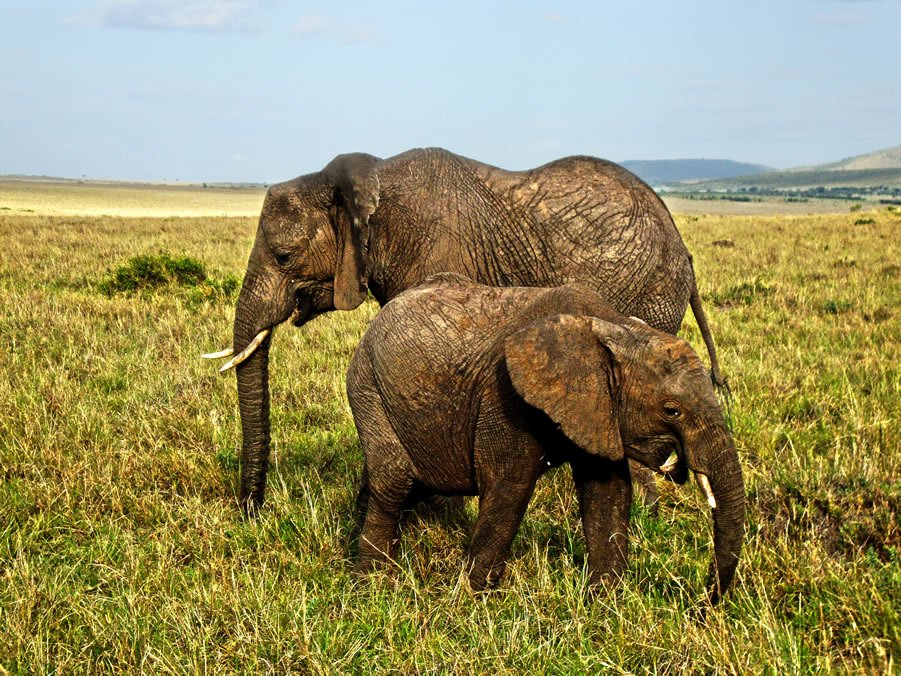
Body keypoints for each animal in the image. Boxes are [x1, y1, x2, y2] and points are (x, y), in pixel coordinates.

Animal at [203, 147, 726, 513]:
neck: (362, 181)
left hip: (652, 293)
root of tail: (682, 244)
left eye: (284, 257)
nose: (252, 512)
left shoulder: (436, 254)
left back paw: (646, 512)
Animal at [346, 274, 744, 604]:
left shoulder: (598, 410)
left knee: (408, 482)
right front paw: (472, 602)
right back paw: (371, 583)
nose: (704, 604)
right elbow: (509, 489)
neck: (614, 326)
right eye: (672, 410)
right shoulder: (505, 397)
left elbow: (607, 494)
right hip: (367, 385)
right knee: (396, 480)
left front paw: (604, 604)